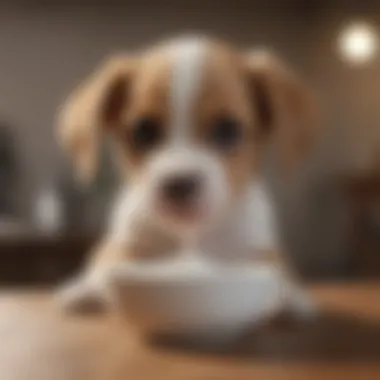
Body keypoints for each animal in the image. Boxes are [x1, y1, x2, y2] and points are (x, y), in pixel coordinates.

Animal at [58, 35, 320, 318]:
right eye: (143, 131)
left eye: (227, 130)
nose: (179, 183)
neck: (191, 238)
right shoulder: (127, 244)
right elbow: (110, 262)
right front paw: (88, 289)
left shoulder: (257, 248)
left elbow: (276, 268)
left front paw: (291, 295)